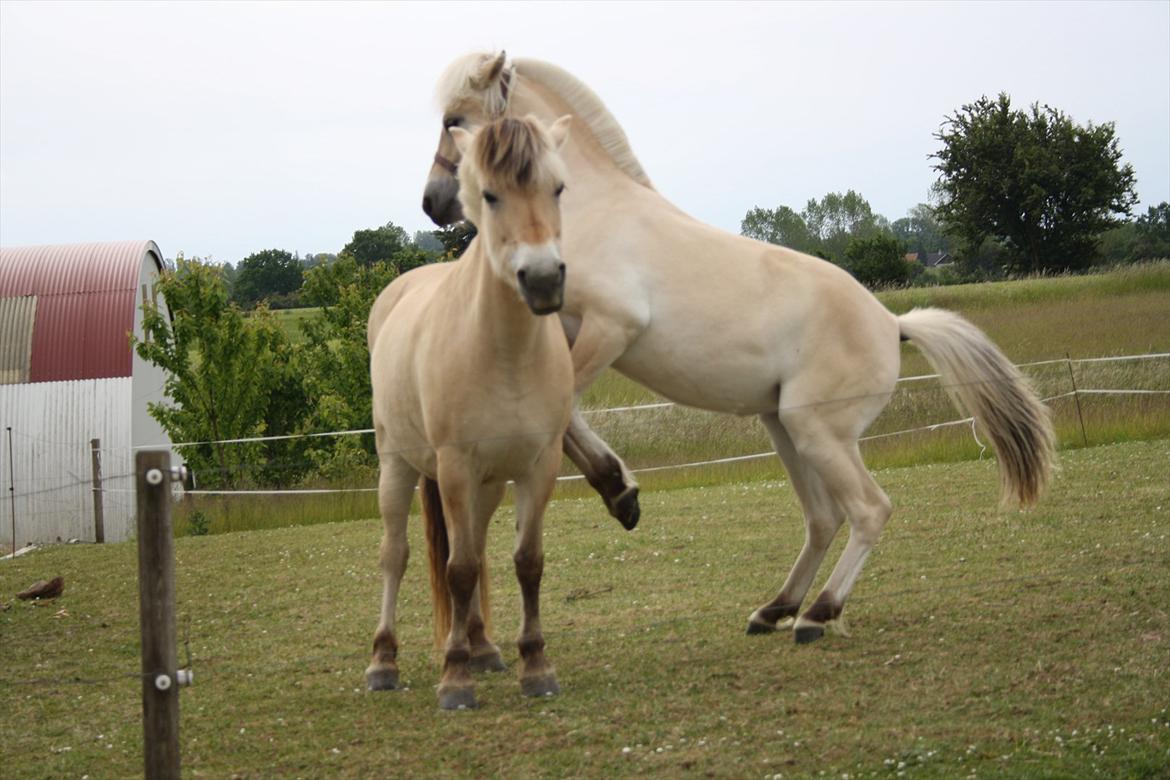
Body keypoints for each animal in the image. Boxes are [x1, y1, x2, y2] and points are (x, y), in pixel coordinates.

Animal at [362, 112, 568, 711]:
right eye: (490, 195)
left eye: (558, 188)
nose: (542, 280)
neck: (506, 353)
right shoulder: (453, 467)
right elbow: (457, 569)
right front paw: (455, 679)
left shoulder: (538, 468)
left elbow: (525, 562)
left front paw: (535, 665)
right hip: (398, 466)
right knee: (397, 554)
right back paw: (384, 661)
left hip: (487, 484)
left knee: (472, 546)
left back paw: (482, 646)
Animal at [418, 50, 1053, 645]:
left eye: (454, 119)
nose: (433, 202)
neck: (586, 212)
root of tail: (891, 322)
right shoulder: (564, 330)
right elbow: (564, 413)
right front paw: (621, 490)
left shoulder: (610, 327)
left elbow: (565, 411)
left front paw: (620, 491)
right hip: (785, 427)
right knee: (823, 518)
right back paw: (774, 608)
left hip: (818, 432)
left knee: (869, 510)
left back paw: (817, 614)